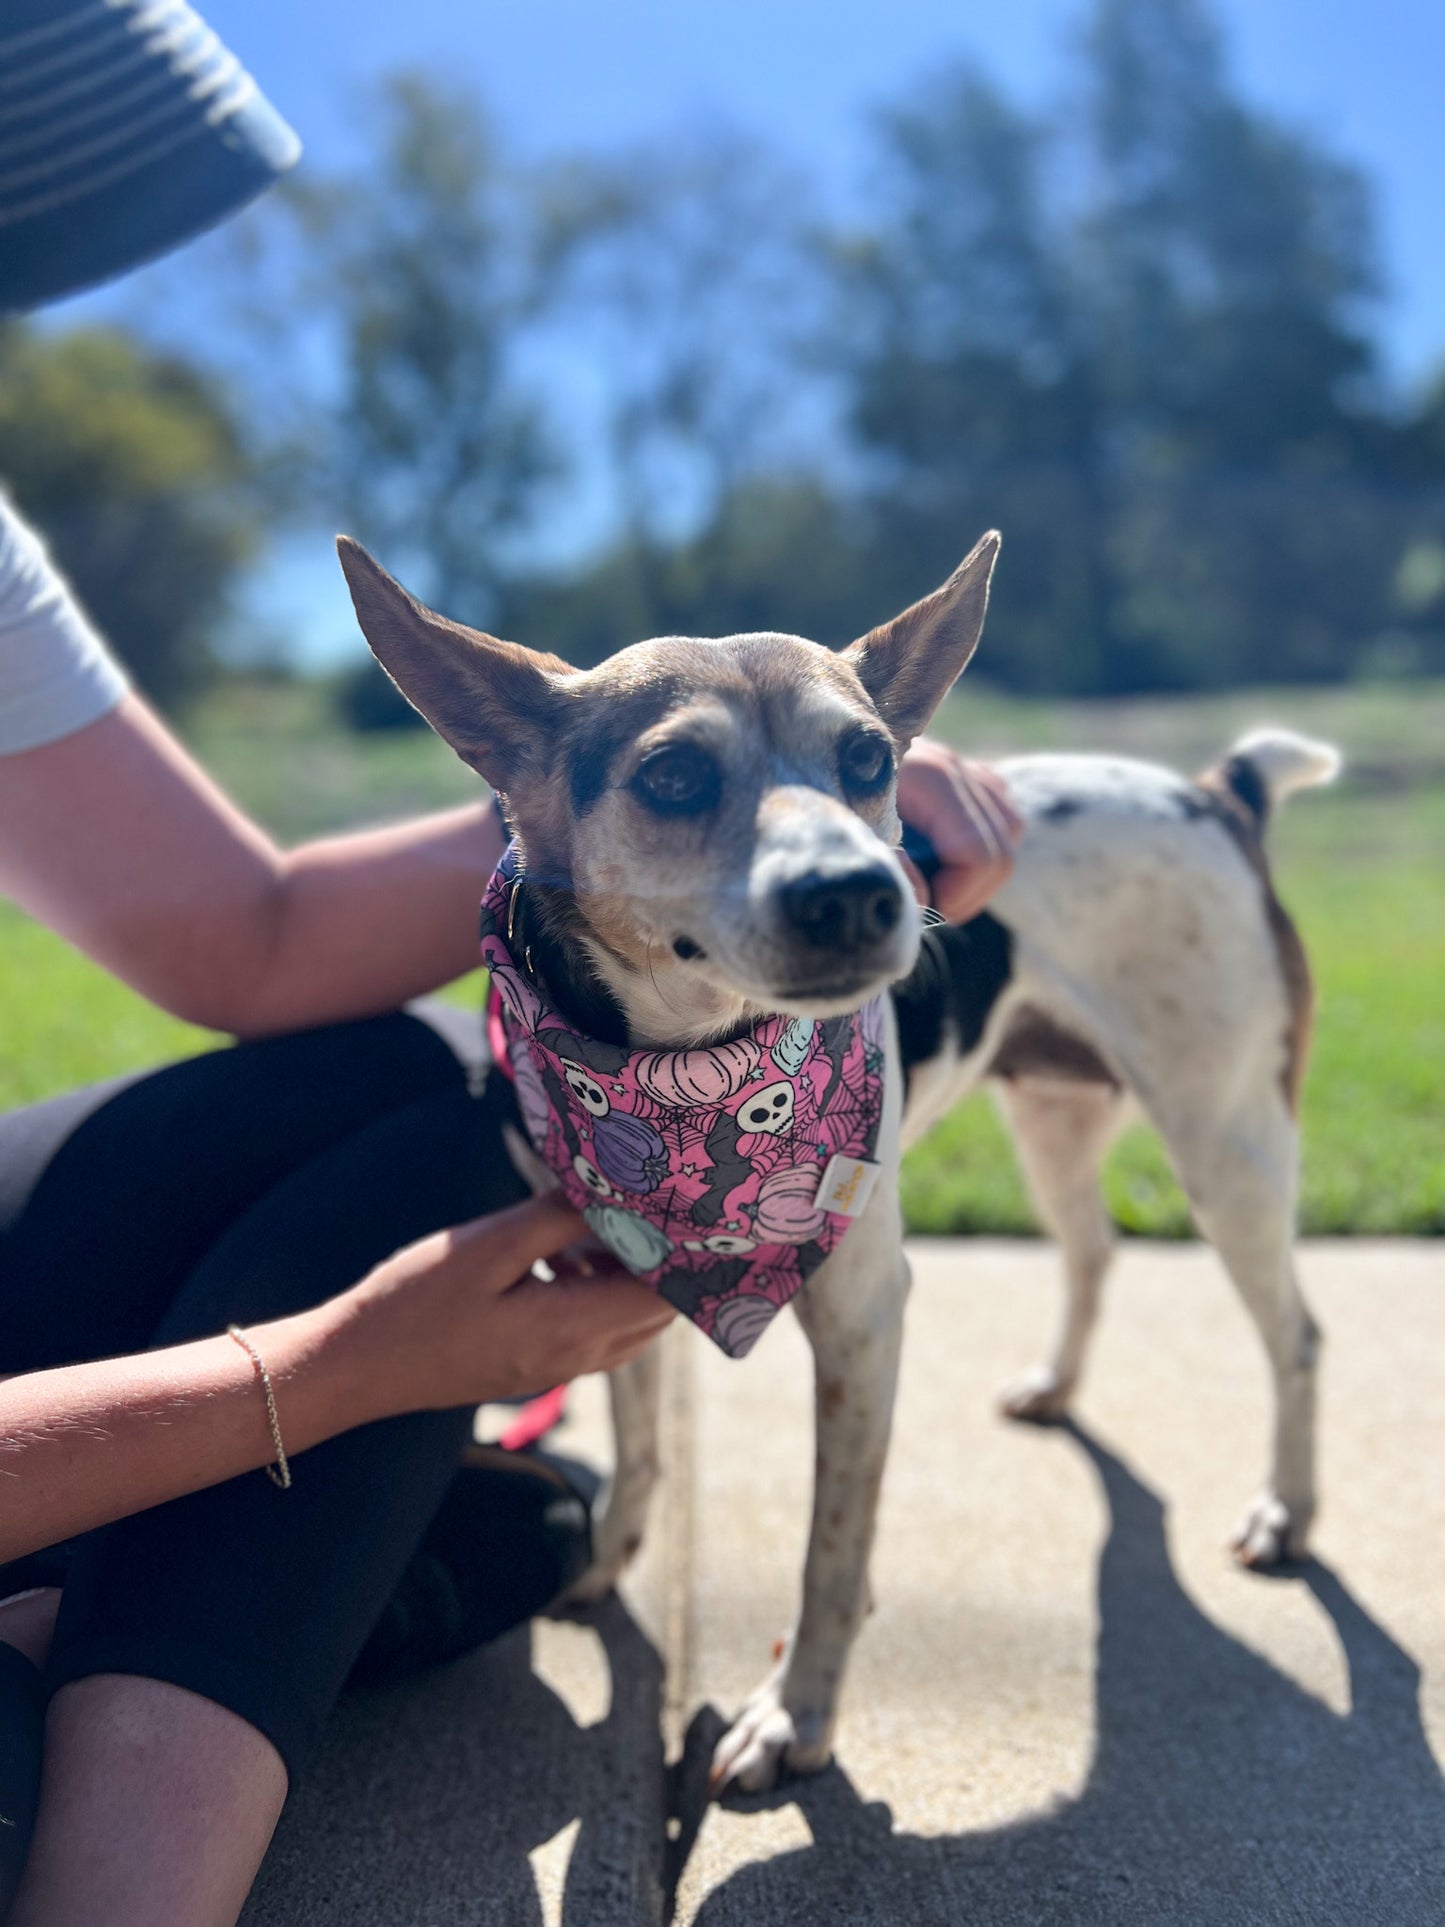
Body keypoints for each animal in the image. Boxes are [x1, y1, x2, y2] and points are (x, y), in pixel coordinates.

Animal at [339, 524, 1348, 1788]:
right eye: (673, 775)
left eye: (867, 758)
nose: (862, 891)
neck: (679, 1079)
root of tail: (1213, 793)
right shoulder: (608, 1275)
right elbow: (641, 1451)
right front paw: (605, 1565)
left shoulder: (864, 1318)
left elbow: (832, 1546)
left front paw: (795, 1717)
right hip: (1054, 1120)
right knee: (1091, 1249)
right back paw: (1058, 1385)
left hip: (1224, 1141)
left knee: (1295, 1334)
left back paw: (1285, 1512)